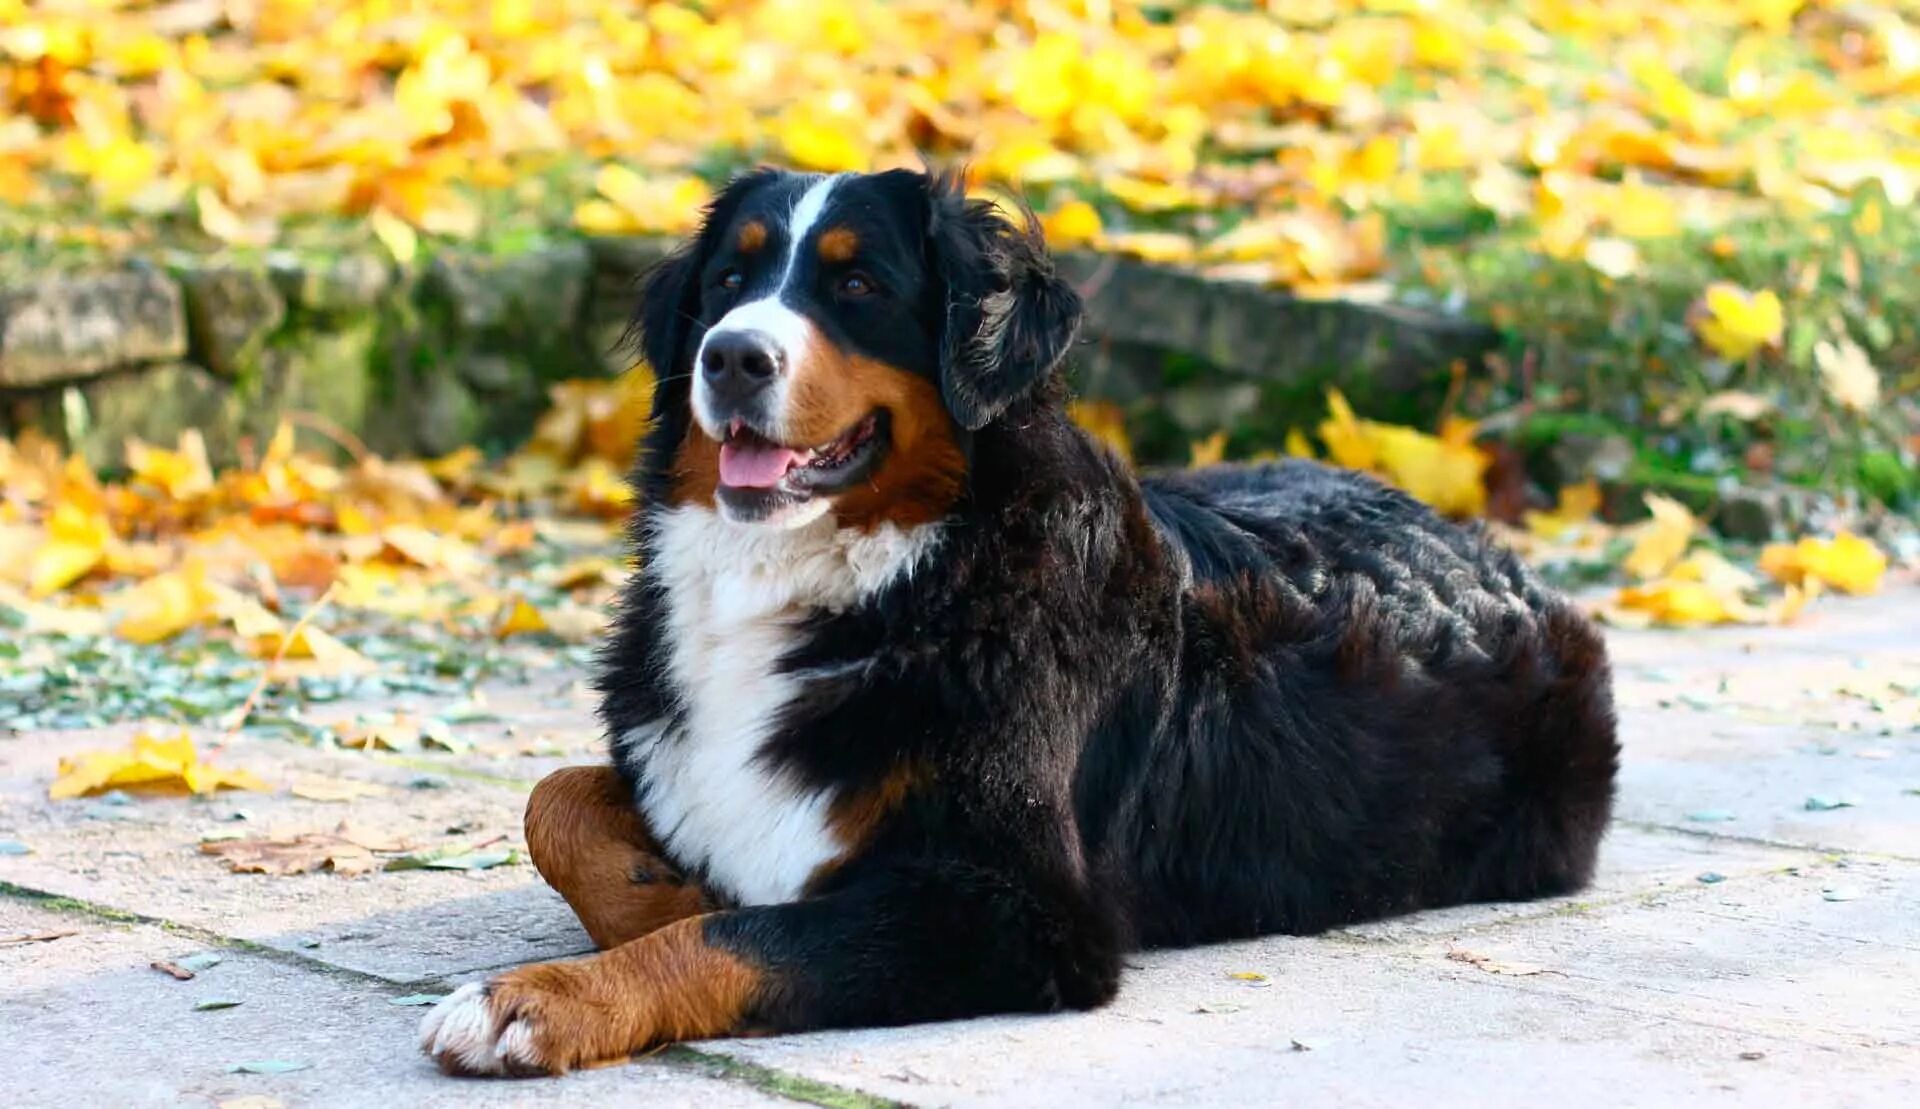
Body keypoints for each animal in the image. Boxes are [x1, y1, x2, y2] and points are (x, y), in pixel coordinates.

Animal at [420, 168, 1620, 1074]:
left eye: (856, 282)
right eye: (728, 278)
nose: (731, 354)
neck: (888, 571)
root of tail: (1487, 548)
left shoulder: (1016, 905)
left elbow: (737, 935)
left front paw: (546, 996)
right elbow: (556, 802)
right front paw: (660, 885)